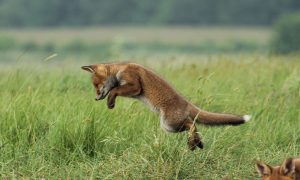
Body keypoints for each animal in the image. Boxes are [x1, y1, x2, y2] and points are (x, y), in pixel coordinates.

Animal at [81, 62, 251, 150]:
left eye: (97, 85)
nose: (96, 98)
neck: (119, 69)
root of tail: (186, 102)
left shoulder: (135, 86)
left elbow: (114, 90)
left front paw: (110, 102)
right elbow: (115, 90)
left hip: (169, 125)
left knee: (191, 124)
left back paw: (193, 143)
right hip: (170, 126)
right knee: (193, 125)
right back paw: (198, 143)